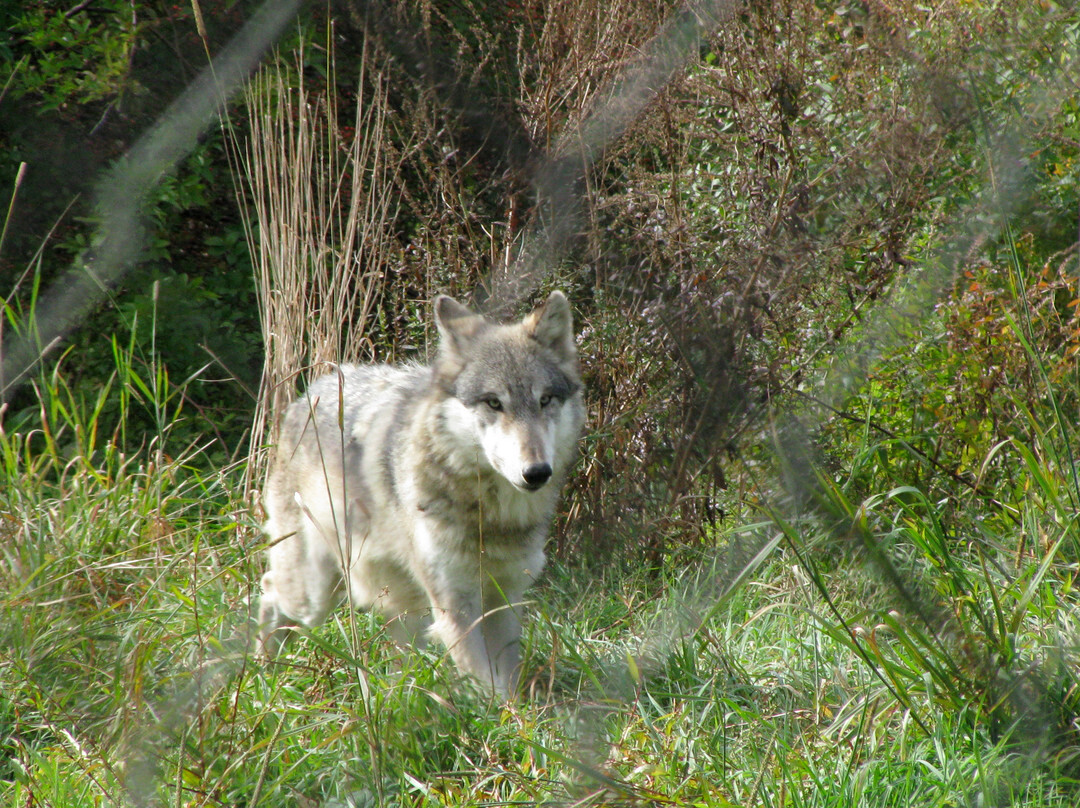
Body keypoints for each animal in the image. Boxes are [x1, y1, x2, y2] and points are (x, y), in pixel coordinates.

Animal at [258, 289, 587, 695]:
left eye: (545, 400)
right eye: (494, 402)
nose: (536, 472)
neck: (489, 517)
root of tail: (309, 393)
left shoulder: (506, 597)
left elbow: (507, 680)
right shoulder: (455, 606)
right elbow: (488, 685)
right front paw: (503, 712)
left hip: (402, 606)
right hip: (314, 594)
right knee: (268, 591)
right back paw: (260, 677)